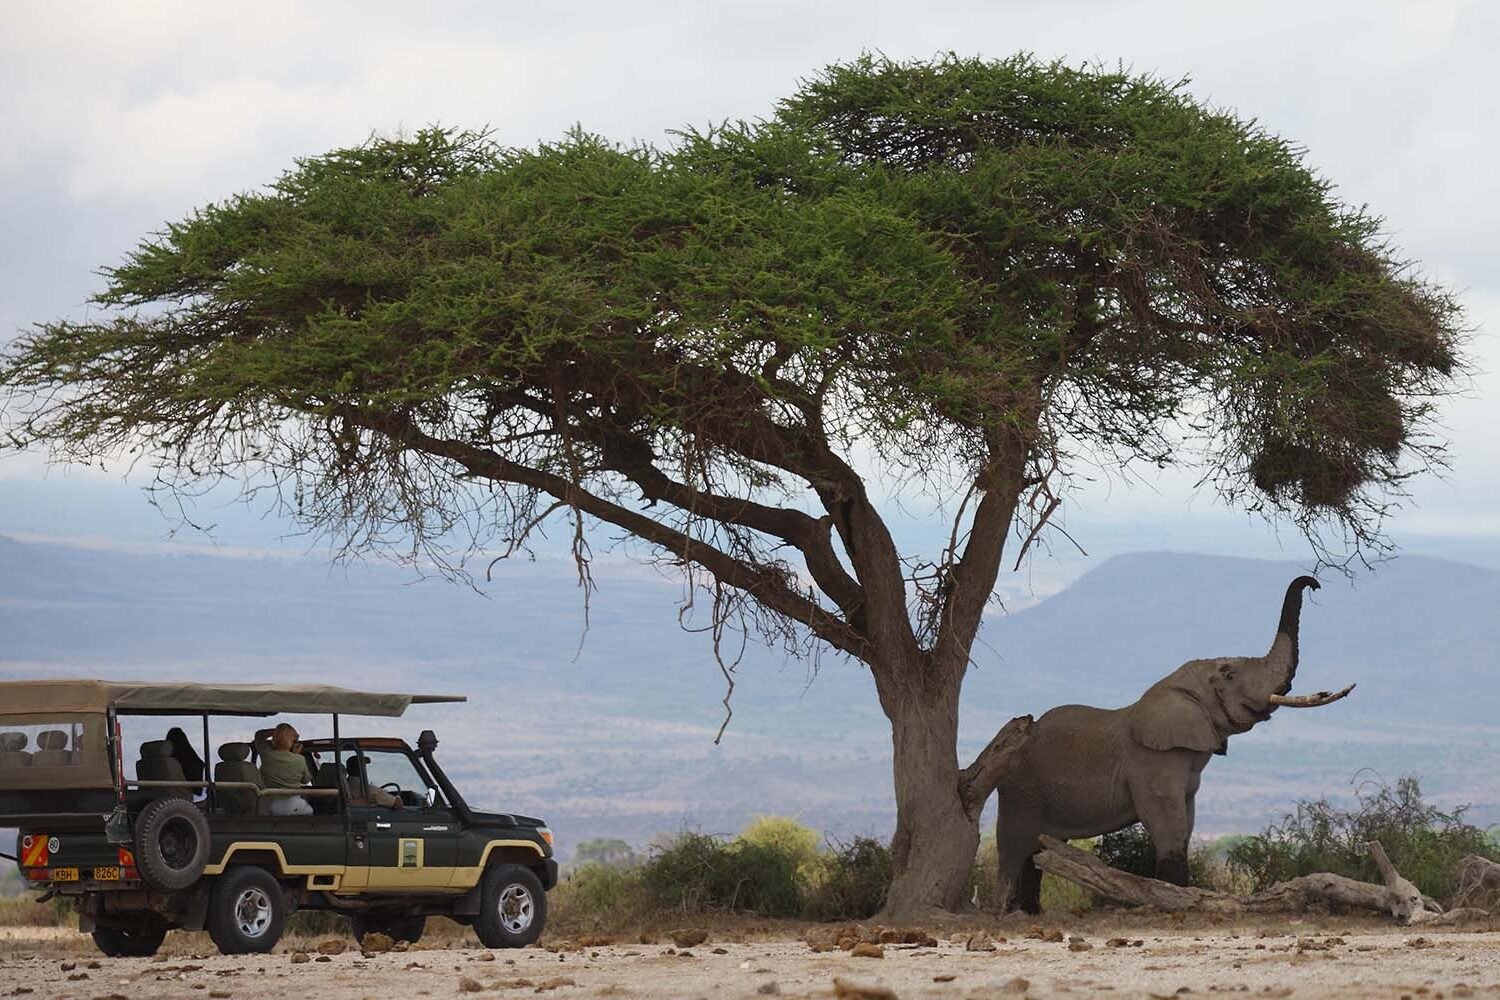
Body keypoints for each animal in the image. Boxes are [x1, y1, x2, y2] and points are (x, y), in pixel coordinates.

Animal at [990, 569, 1356, 917]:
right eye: (1229, 675)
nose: (1315, 585)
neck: (1175, 686)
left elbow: (1187, 821)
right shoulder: (1152, 762)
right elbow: (1169, 822)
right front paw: (1176, 898)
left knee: (1037, 851)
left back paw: (1030, 910)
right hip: (1020, 786)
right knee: (1015, 846)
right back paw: (1007, 910)